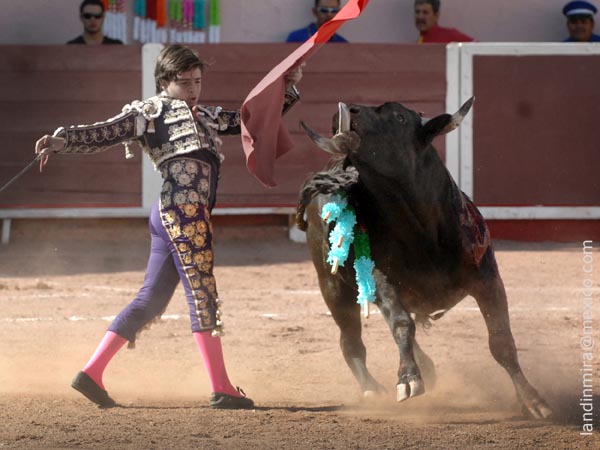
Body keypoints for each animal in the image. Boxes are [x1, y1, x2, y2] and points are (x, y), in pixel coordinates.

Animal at [296, 99, 552, 419]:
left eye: (400, 117)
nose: (348, 110)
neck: (418, 227)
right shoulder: (382, 278)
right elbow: (402, 324)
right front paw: (408, 379)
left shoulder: (488, 280)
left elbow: (501, 340)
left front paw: (532, 400)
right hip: (332, 287)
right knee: (351, 342)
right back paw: (372, 388)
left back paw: (425, 367)